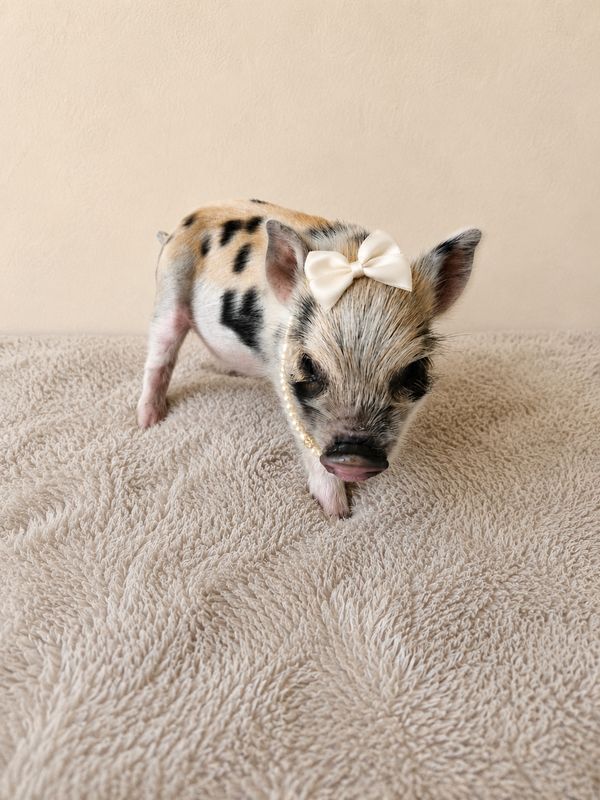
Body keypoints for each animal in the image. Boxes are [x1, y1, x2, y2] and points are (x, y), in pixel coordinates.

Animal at [137, 199, 481, 518]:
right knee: (160, 355)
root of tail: (176, 231)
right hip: (168, 293)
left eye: (415, 368)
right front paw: (337, 513)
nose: (354, 456)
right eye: (307, 364)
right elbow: (306, 440)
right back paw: (148, 422)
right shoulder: (286, 380)